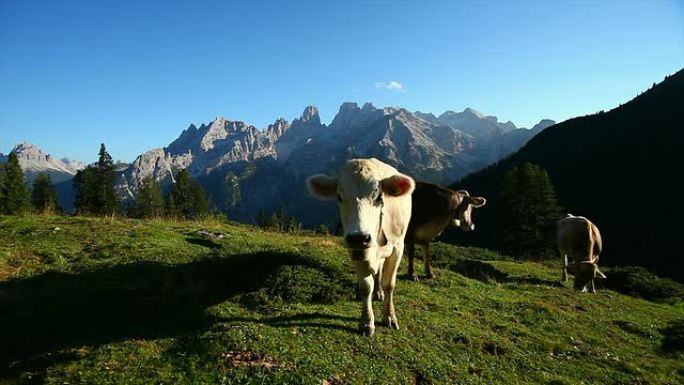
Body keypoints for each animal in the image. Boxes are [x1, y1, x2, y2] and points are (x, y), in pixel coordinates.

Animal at [308, 158, 414, 334]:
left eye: (379, 197)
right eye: (339, 197)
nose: (359, 237)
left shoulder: (398, 247)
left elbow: (389, 284)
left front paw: (390, 317)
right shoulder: (355, 249)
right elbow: (366, 286)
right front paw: (366, 322)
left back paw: (379, 292)